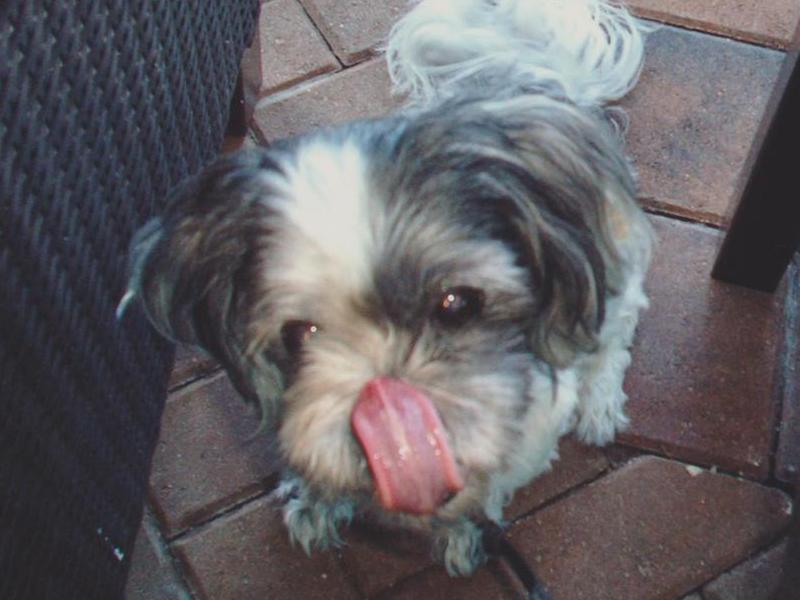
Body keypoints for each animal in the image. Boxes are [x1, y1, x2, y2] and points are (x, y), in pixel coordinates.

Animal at [122, 0, 652, 576]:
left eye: (457, 304)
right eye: (298, 333)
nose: (385, 411)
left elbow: (490, 480)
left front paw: (465, 527)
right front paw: (316, 499)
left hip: (614, 271)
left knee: (612, 338)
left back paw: (599, 405)